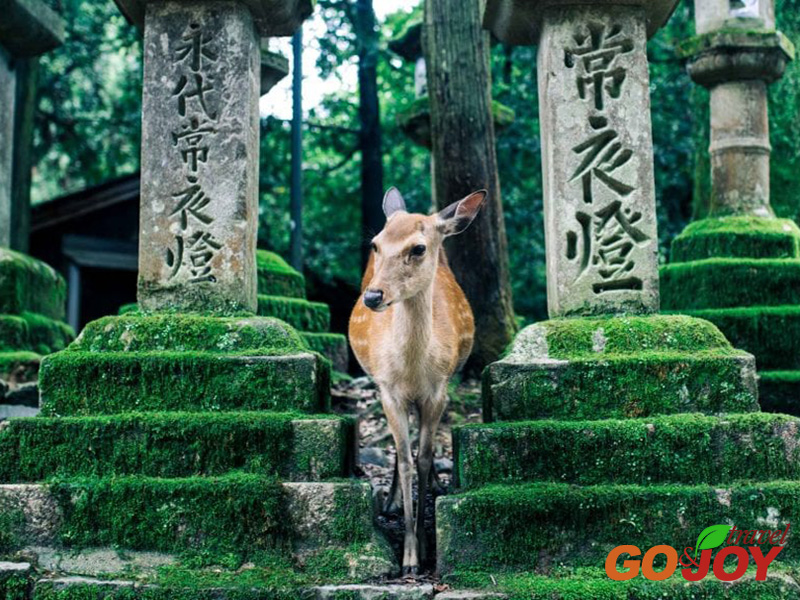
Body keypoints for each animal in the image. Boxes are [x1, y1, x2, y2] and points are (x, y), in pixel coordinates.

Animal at [348, 186, 487, 575]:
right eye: (376, 244)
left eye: (419, 248)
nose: (373, 296)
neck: (411, 370)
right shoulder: (388, 390)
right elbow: (407, 459)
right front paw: (408, 556)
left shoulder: (437, 391)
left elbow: (423, 458)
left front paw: (425, 548)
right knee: (399, 450)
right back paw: (392, 501)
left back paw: (438, 485)